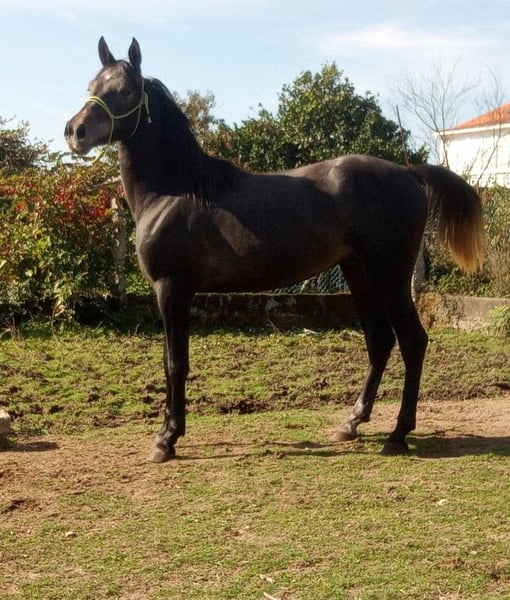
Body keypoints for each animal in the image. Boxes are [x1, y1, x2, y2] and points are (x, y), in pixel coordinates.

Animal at [65, 38, 485, 462]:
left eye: (124, 91)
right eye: (91, 86)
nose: (75, 131)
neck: (175, 193)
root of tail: (409, 172)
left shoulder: (172, 290)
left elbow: (175, 364)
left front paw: (166, 439)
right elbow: (172, 363)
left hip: (391, 277)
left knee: (413, 341)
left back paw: (397, 435)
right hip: (359, 274)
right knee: (380, 341)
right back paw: (351, 423)